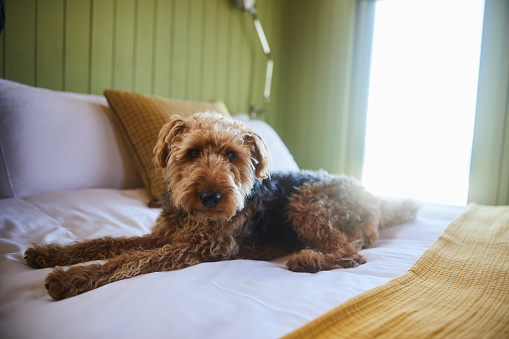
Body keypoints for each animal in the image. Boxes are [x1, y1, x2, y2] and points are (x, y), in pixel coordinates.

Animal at [24, 113, 416, 302]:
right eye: (192, 152)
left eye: (231, 156)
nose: (211, 197)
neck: (193, 220)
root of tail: (374, 199)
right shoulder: (164, 235)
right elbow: (107, 243)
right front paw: (48, 254)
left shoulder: (199, 247)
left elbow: (129, 260)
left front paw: (69, 279)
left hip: (304, 203)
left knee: (351, 253)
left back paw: (308, 259)